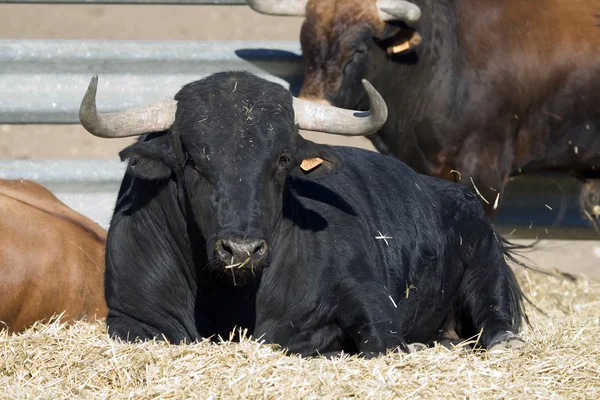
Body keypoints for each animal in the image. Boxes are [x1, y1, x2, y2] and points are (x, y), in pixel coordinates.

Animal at [88, 71, 524, 356]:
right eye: (192, 161)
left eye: (283, 159)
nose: (242, 250)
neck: (230, 296)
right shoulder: (129, 318)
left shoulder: (368, 295)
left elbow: (382, 343)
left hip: (486, 268)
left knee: (496, 321)